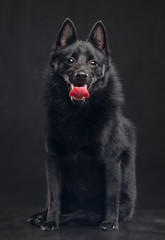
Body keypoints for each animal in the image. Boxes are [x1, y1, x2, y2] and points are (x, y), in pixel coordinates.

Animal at [28, 18, 137, 231]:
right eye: (69, 60)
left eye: (93, 63)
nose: (81, 75)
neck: (77, 112)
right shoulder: (53, 159)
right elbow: (53, 197)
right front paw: (51, 220)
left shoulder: (110, 160)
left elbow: (110, 197)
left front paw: (110, 222)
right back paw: (42, 216)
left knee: (82, 213)